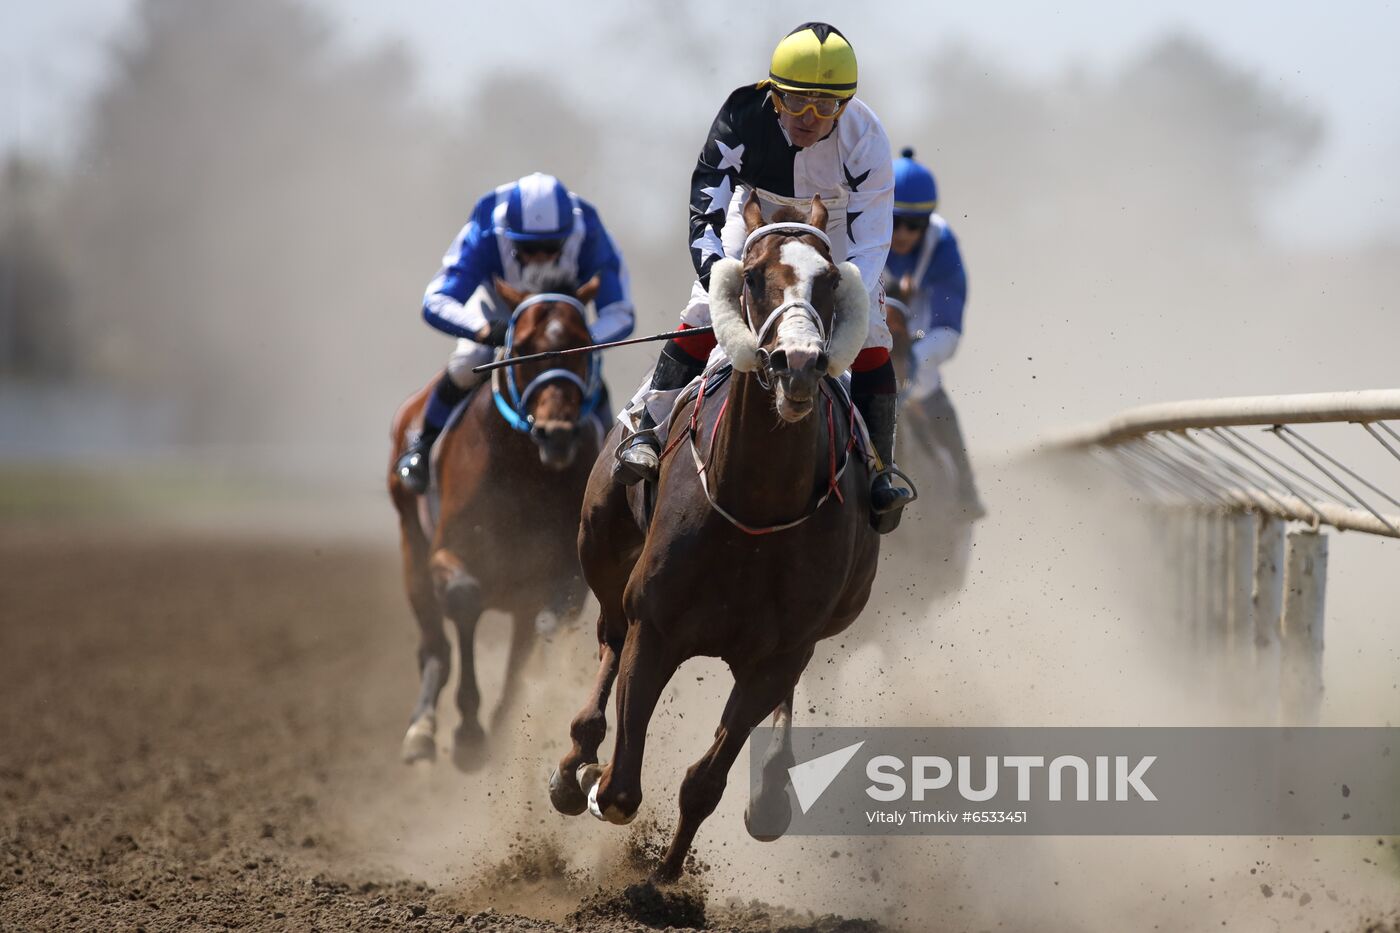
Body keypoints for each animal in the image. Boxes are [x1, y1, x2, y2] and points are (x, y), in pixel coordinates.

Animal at [388, 271, 603, 771]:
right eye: (522, 346)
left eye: (583, 343)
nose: (556, 433)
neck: (525, 469)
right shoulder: (450, 551)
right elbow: (464, 599)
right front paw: (468, 731)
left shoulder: (565, 576)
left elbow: (542, 633)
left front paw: (508, 724)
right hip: (412, 545)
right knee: (435, 647)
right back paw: (422, 729)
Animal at [547, 193, 880, 881]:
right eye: (751, 277)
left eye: (831, 281)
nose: (798, 364)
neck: (755, 510)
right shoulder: (655, 626)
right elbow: (620, 789)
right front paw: (591, 780)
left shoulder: (775, 656)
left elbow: (705, 780)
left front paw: (665, 875)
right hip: (603, 556)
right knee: (608, 639)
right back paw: (574, 764)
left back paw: (773, 787)